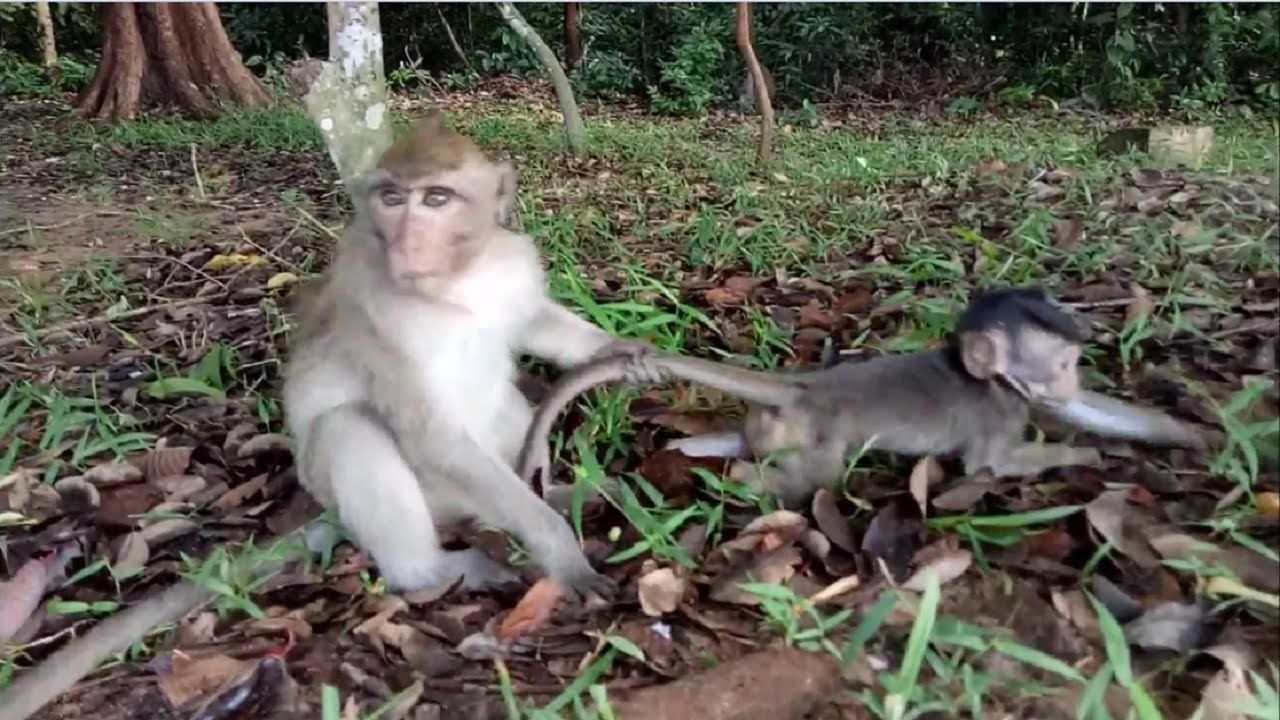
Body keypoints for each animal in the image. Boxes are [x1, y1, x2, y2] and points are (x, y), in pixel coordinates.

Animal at [0, 114, 662, 720]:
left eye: (437, 199)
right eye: (393, 199)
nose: (407, 241)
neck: (455, 282)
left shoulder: (509, 264)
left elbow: (531, 323)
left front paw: (623, 353)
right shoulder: (377, 311)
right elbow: (432, 435)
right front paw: (560, 550)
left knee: (504, 404)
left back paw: (560, 488)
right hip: (428, 492)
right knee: (353, 429)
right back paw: (429, 570)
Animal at [515, 287, 1208, 508]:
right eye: (1062, 363)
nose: (1068, 383)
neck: (987, 378)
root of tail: (802, 385)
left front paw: (1192, 432)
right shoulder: (999, 411)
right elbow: (992, 466)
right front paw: (1081, 458)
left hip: (770, 425)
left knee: (731, 445)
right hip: (817, 434)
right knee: (810, 478)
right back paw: (739, 484)